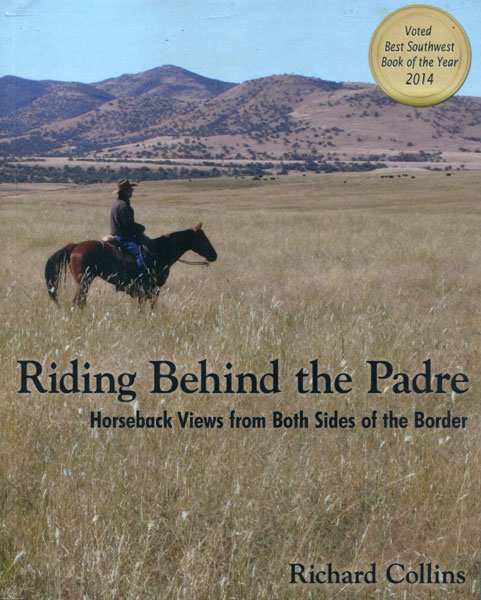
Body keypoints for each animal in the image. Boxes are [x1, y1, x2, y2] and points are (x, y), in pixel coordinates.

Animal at [45, 224, 218, 310]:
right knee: (78, 301)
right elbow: (152, 307)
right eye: (203, 239)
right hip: (84, 282)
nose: (214, 255)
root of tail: (75, 246)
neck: (160, 252)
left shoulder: (144, 292)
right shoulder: (153, 289)